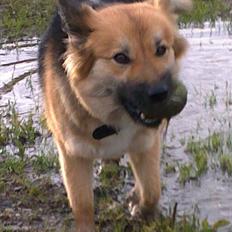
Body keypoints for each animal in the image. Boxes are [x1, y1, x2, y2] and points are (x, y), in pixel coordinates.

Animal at [39, 0, 192, 230]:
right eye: (121, 57)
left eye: (161, 50)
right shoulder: (73, 154)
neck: (109, 121)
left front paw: (140, 208)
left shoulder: (146, 142)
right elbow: (82, 205)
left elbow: (152, 190)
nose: (160, 94)